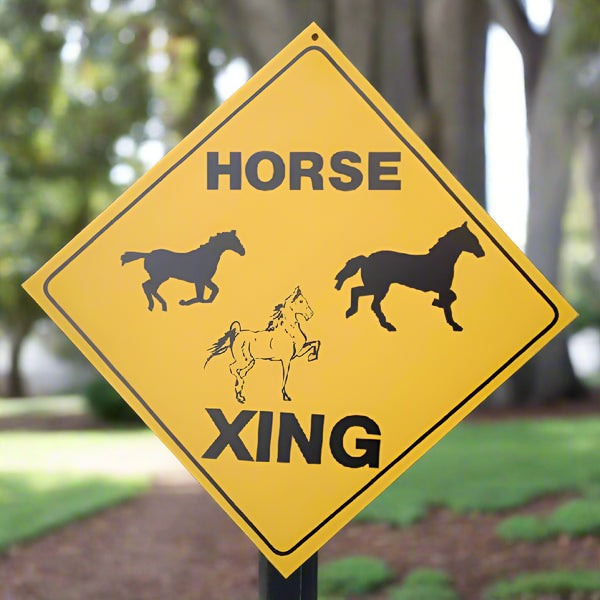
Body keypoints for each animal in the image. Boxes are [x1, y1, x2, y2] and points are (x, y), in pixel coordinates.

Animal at [336, 221, 486, 332]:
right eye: (472, 239)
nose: (482, 253)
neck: (441, 260)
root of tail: (366, 259)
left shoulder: (442, 289)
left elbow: (452, 297)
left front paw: (437, 303)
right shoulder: (442, 289)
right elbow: (448, 307)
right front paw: (454, 324)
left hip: (377, 288)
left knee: (369, 301)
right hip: (378, 287)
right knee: (359, 293)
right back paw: (357, 313)